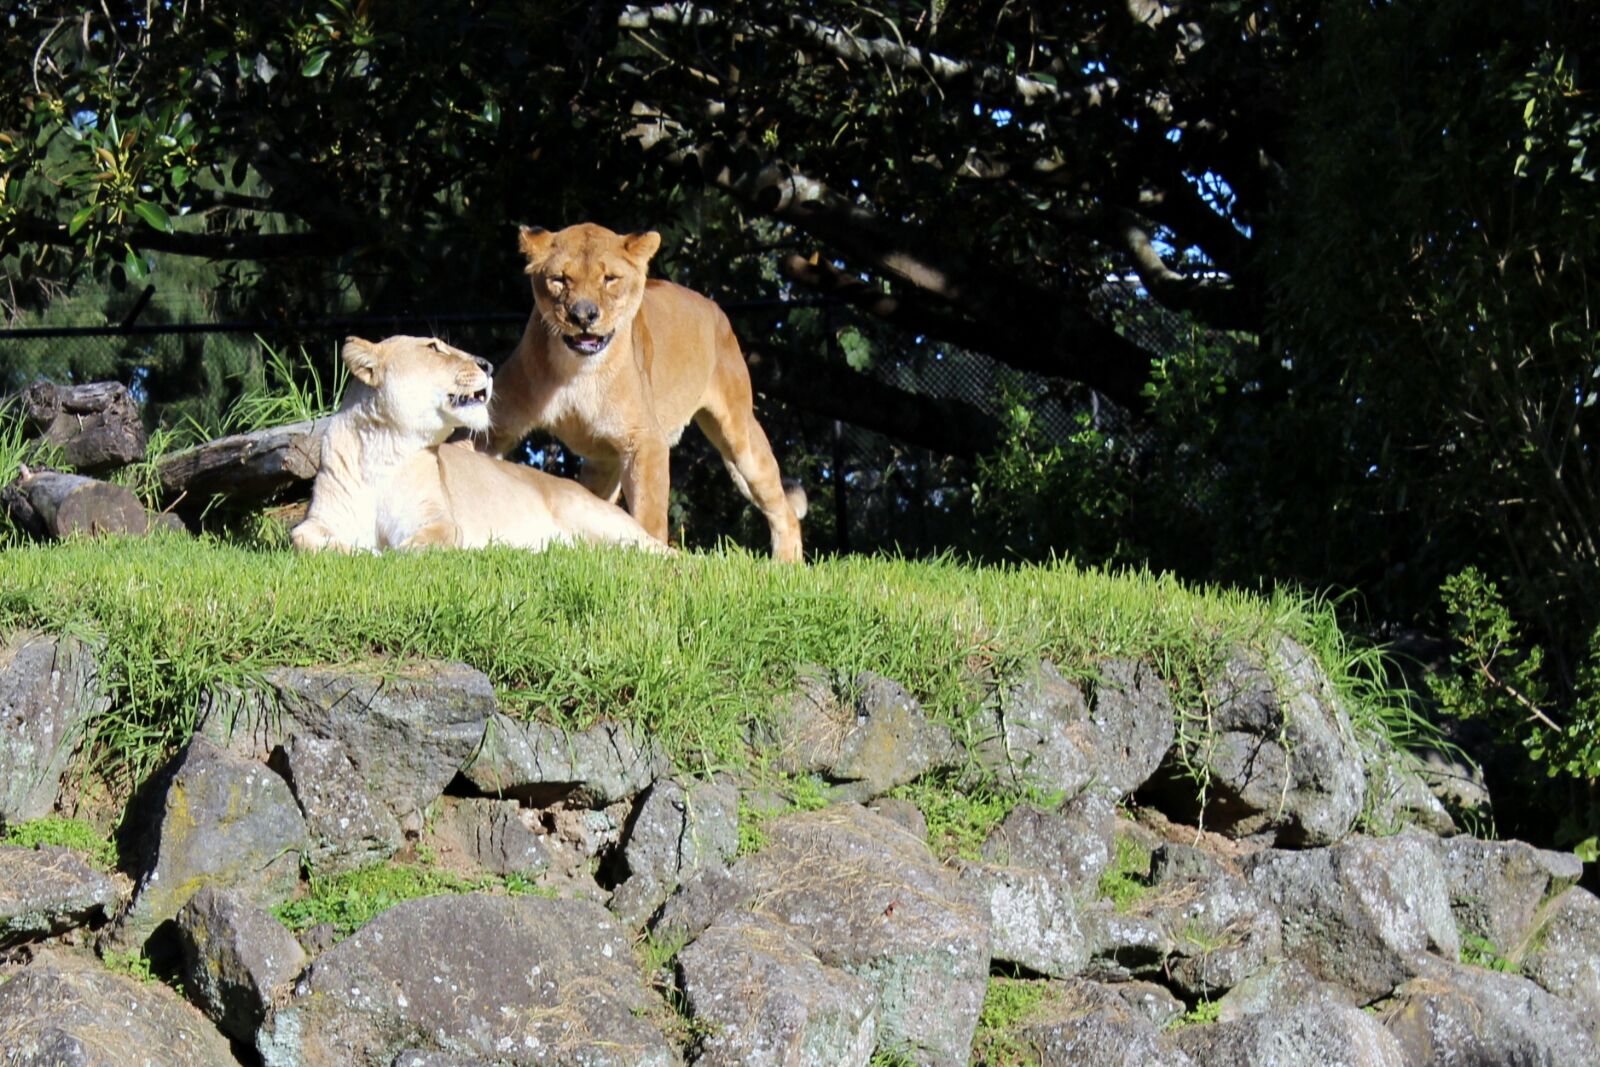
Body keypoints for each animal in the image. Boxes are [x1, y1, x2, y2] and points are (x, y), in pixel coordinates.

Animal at [291, 334, 663, 554]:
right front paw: (354, 550)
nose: (487, 364)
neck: (384, 449)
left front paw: (378, 552)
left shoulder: (439, 523)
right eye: (433, 347)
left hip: (592, 515)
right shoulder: (318, 521)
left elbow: (410, 547)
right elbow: (303, 540)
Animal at [483, 222, 806, 562]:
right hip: (604, 462)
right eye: (559, 279)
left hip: (739, 436)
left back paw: (786, 564)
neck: (577, 371)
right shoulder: (498, 422)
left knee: (783, 507)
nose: (583, 315)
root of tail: (714, 306)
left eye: (609, 278)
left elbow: (649, 513)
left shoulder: (645, 440)